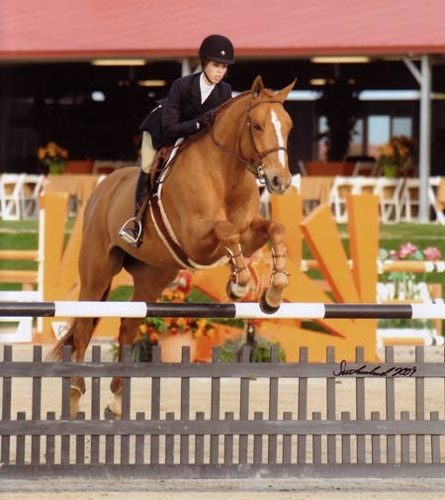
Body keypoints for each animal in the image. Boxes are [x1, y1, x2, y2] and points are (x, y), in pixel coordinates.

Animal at [49, 75, 294, 418]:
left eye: (288, 125)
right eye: (257, 126)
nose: (279, 181)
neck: (226, 174)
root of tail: (104, 187)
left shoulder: (248, 233)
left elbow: (274, 228)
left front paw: (272, 293)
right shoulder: (195, 238)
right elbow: (226, 231)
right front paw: (239, 285)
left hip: (152, 276)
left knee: (128, 327)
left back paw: (117, 400)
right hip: (97, 272)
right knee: (84, 327)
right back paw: (74, 395)